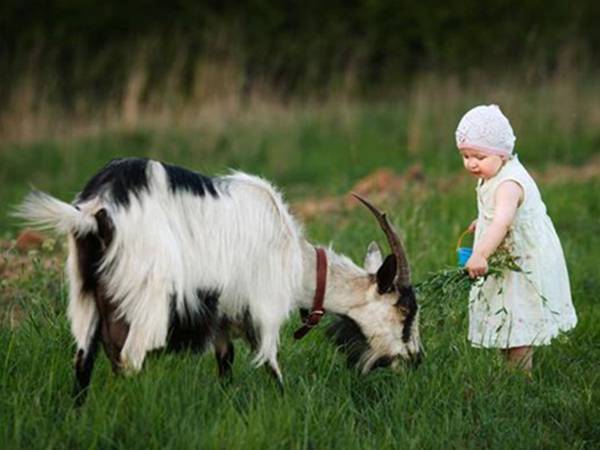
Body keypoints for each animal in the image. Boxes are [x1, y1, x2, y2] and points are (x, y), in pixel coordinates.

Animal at [17, 157, 422, 400]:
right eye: (405, 312)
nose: (416, 360)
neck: (295, 257)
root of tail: (97, 209)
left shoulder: (224, 313)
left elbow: (226, 361)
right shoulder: (264, 305)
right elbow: (270, 362)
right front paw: (285, 401)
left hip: (84, 294)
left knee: (82, 361)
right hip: (148, 297)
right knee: (130, 358)